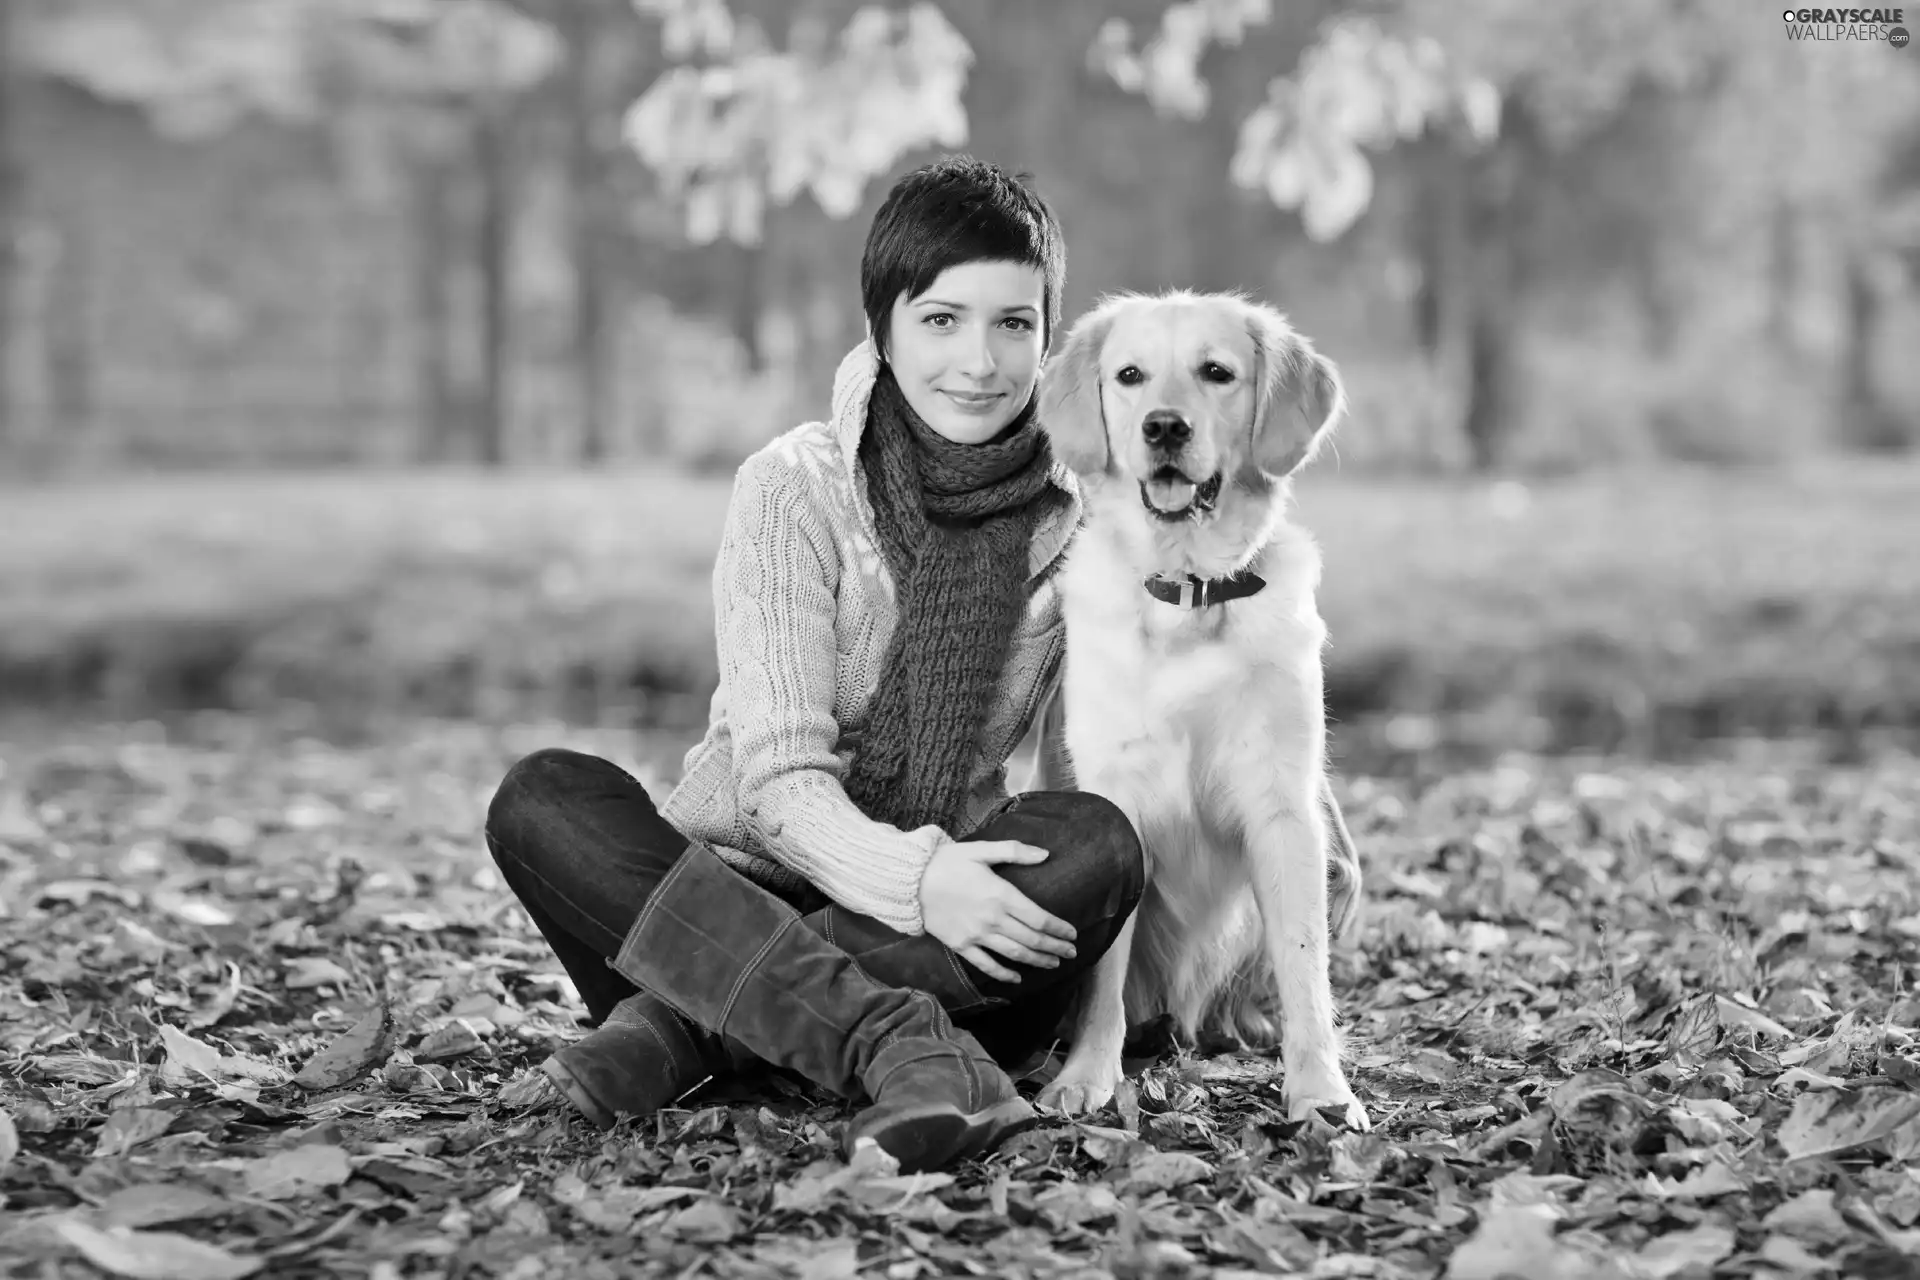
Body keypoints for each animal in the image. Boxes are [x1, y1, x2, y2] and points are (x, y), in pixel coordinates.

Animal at [1029, 289, 1374, 1128]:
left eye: (1216, 373)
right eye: (1129, 375)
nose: (1164, 427)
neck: (1189, 591)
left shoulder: (1285, 807)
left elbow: (1306, 970)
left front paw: (1321, 1090)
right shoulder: (1113, 797)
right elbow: (1105, 977)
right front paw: (1086, 1075)